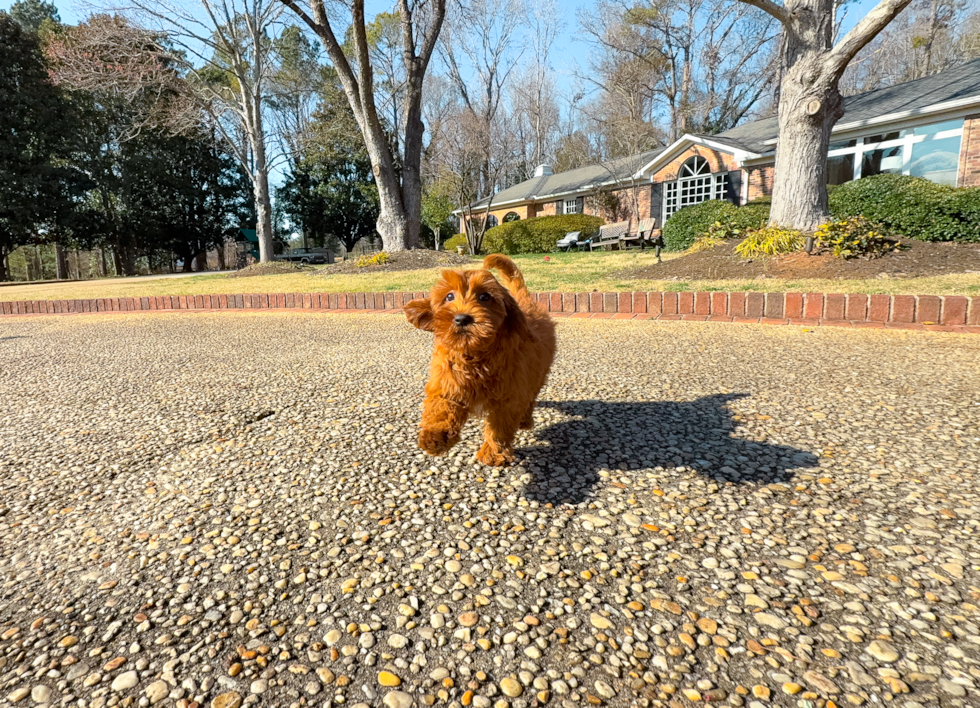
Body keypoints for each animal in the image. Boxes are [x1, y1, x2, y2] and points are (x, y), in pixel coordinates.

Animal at [402, 254, 556, 464]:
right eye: (449, 296)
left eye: (485, 297)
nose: (461, 318)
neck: (474, 354)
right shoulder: (448, 379)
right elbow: (442, 405)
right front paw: (435, 437)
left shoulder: (509, 396)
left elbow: (500, 427)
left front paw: (493, 453)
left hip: (538, 374)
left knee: (531, 397)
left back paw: (525, 419)